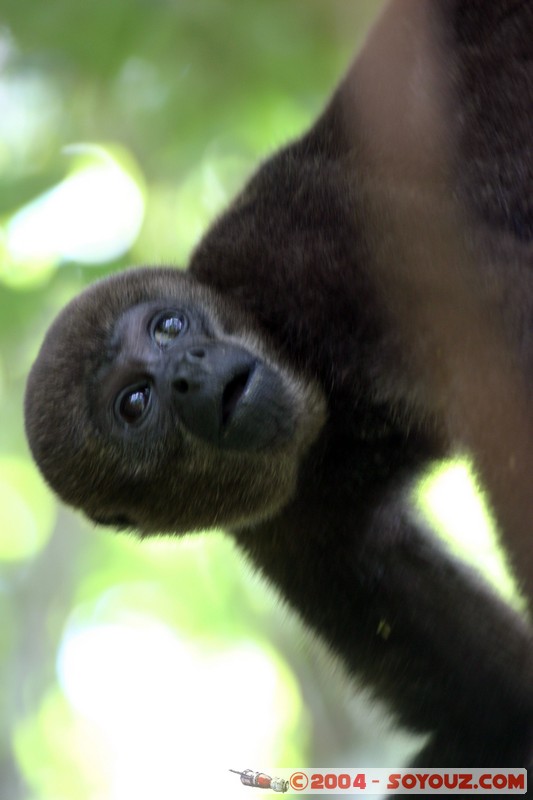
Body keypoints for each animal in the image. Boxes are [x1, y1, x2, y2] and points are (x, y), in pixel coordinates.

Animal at [24, 0, 533, 786]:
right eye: (135, 404)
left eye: (169, 326)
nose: (192, 367)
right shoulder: (291, 527)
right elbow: (491, 708)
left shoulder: (319, 255)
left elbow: (504, 327)